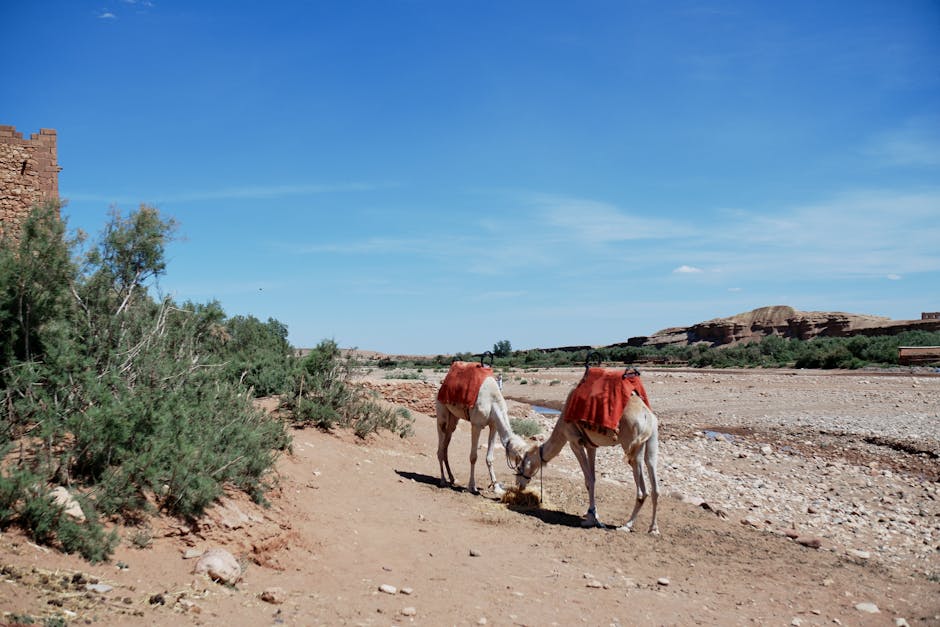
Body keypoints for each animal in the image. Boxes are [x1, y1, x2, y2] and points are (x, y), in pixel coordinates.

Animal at [515, 368, 660, 534]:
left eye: (519, 466)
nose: (518, 485)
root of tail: (647, 416)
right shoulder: (591, 446)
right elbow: (593, 478)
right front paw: (592, 514)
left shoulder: (574, 442)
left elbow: (588, 480)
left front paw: (591, 519)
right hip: (652, 440)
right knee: (654, 480)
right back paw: (653, 529)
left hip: (632, 445)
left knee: (643, 490)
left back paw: (626, 525)